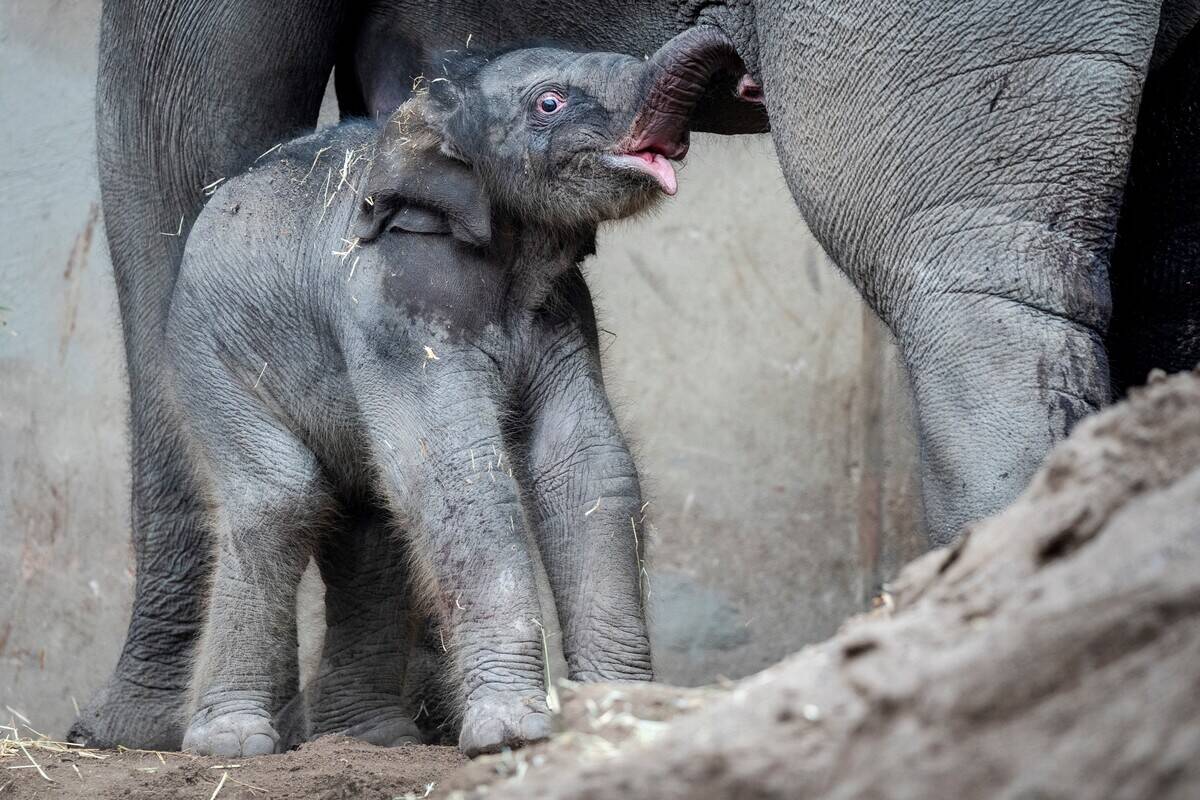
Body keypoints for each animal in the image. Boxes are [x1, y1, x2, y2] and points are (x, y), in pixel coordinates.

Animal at [73, 0, 1200, 750]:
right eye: (550, 101)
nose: (738, 71)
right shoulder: (402, 302)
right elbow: (459, 477)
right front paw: (513, 728)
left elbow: (587, 471)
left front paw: (602, 716)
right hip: (222, 359)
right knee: (292, 495)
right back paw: (260, 743)